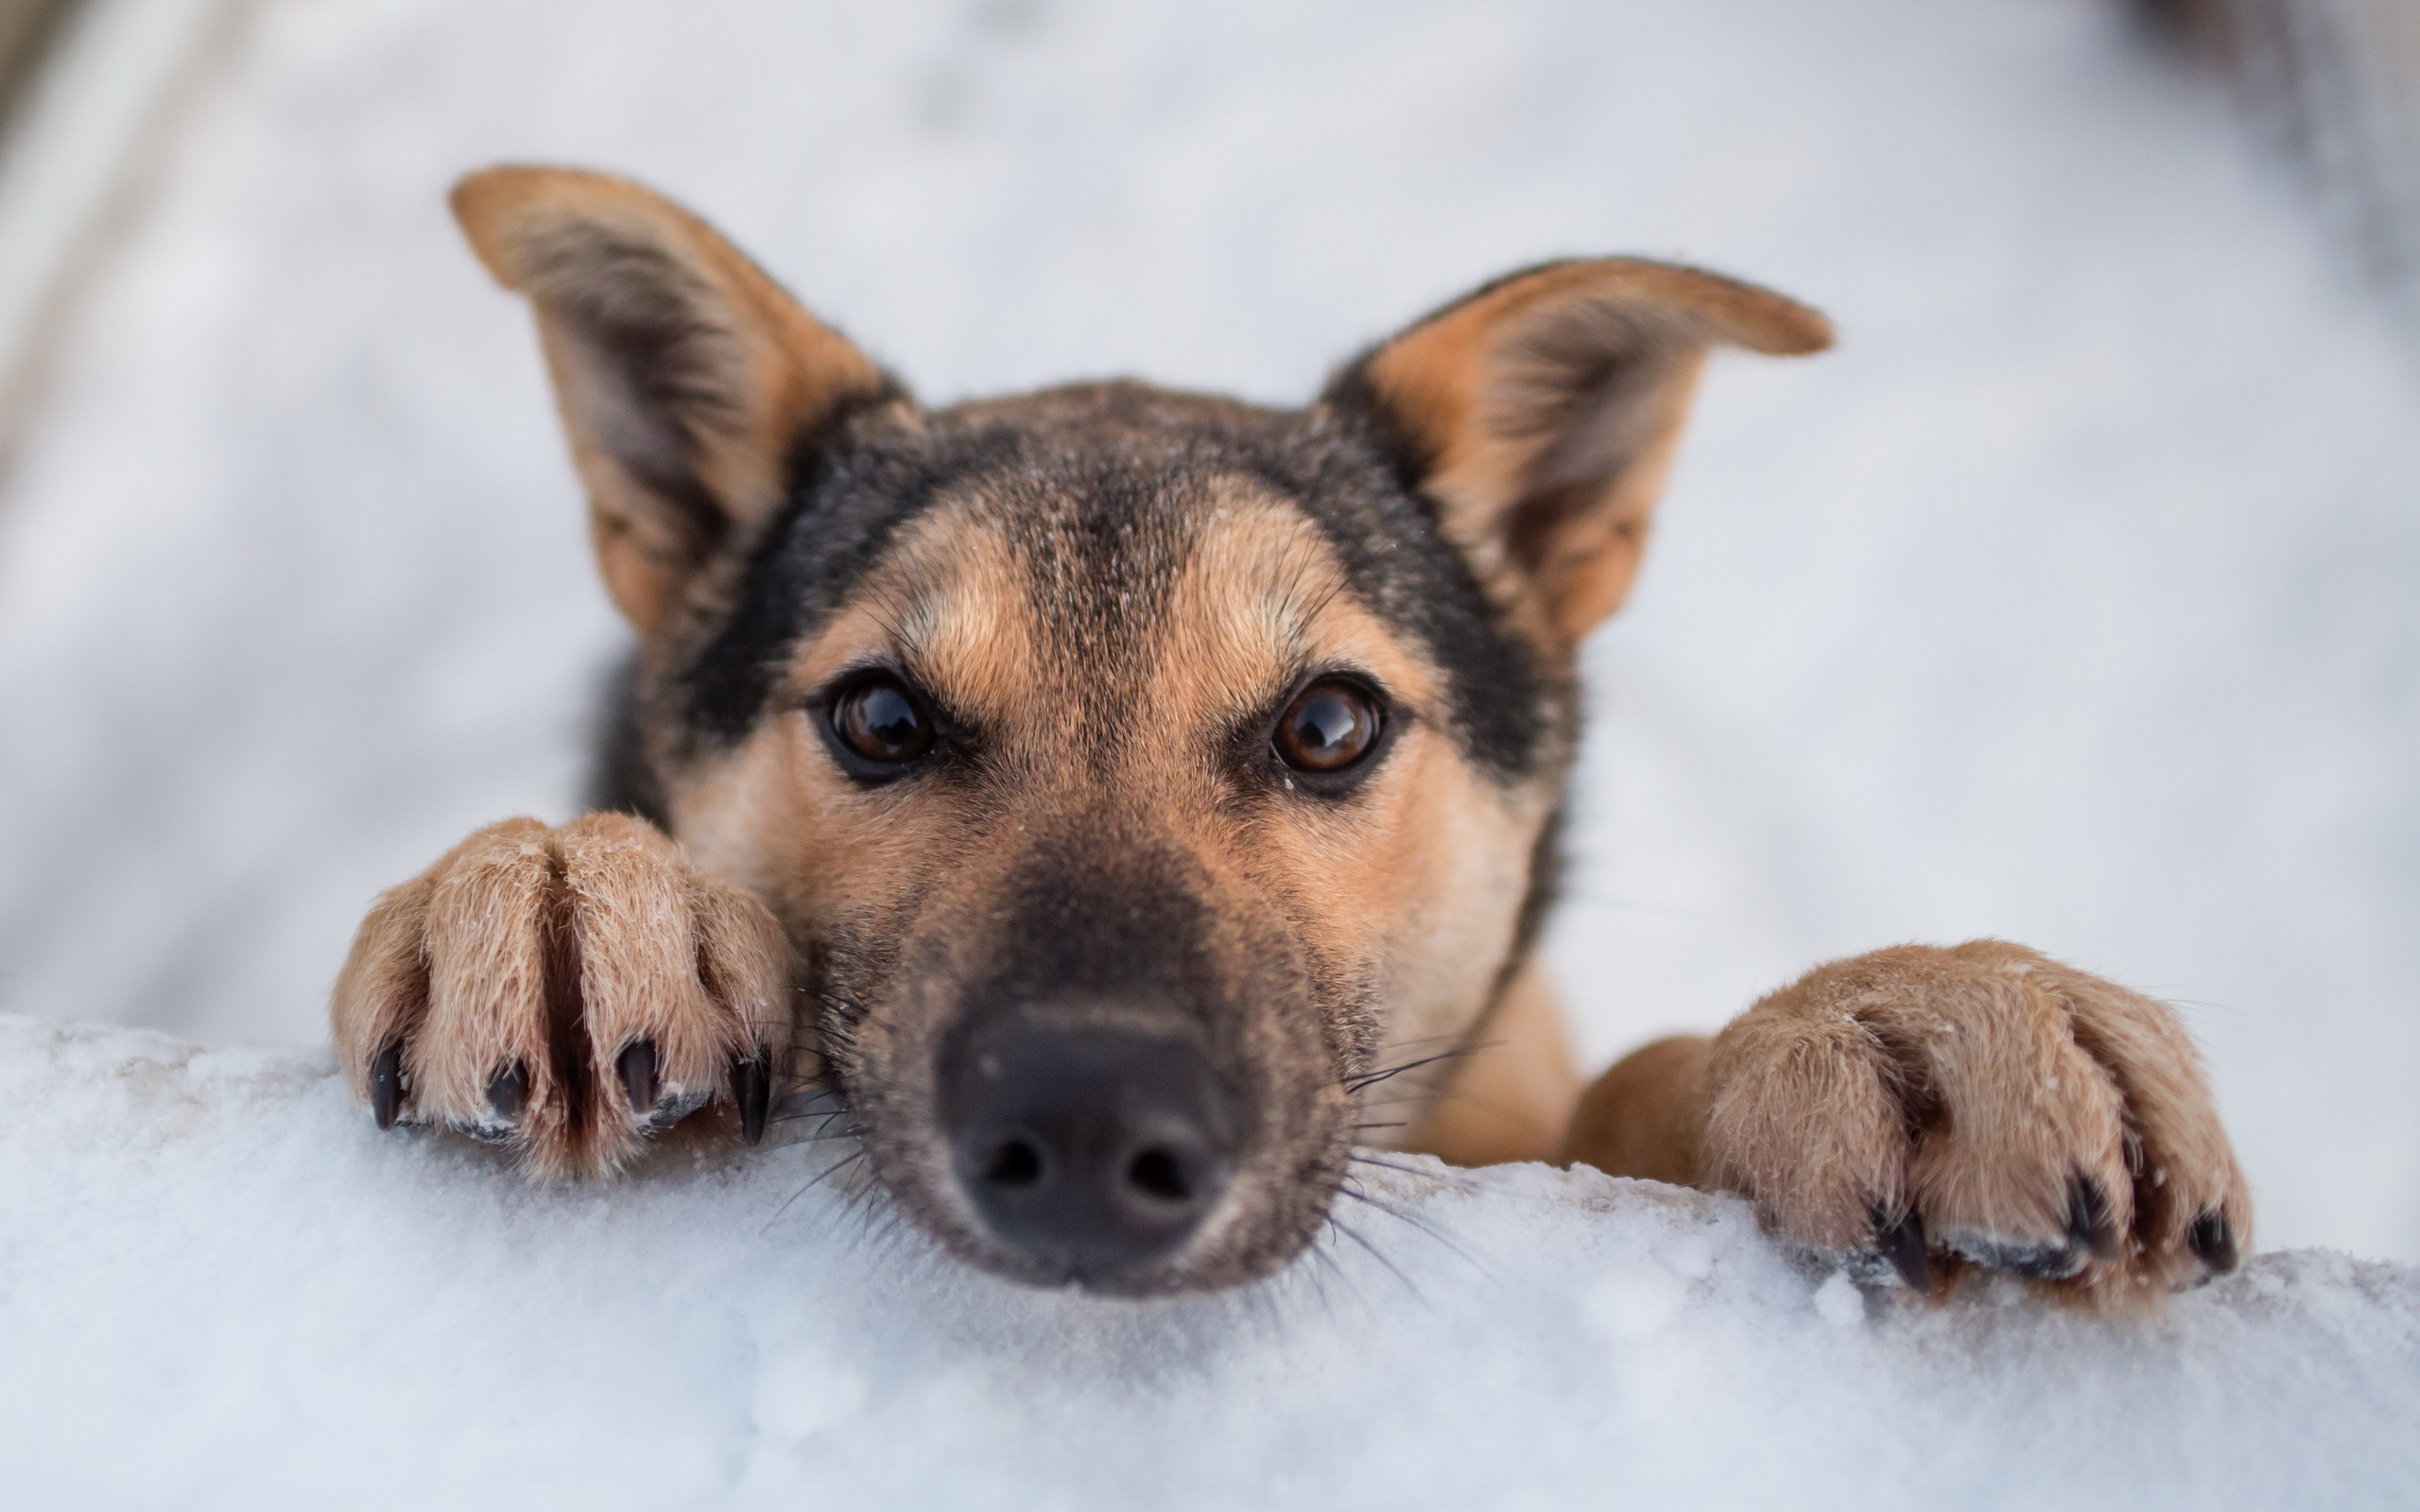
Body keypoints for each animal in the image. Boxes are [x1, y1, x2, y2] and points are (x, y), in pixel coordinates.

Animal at [331, 162, 2255, 1297]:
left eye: (1330, 723)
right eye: (878, 715)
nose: (1090, 1139)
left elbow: (1634, 1083)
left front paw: (1906, 1019)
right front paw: (560, 891)